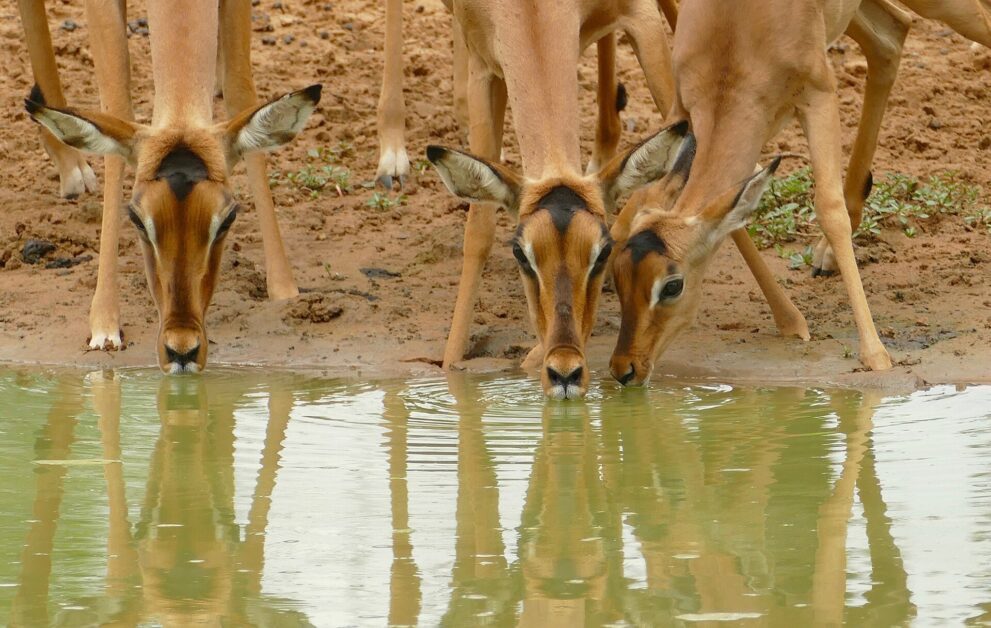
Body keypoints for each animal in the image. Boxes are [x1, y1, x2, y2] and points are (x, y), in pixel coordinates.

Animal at [21, 0, 320, 373]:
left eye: (228, 218)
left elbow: (241, 93)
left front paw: (284, 290)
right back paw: (70, 165)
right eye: (136, 218)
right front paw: (104, 325)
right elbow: (117, 106)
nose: (182, 350)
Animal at [425, 0, 682, 400]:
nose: (565, 372)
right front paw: (452, 365)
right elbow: (479, 228)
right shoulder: (482, 69)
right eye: (520, 253)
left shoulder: (643, 20)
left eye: (603, 253)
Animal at [609, 0, 991, 386]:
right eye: (616, 271)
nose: (624, 368)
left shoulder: (819, 94)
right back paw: (825, 258)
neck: (735, 34)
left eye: (673, 285)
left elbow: (829, 208)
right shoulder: (681, 110)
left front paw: (876, 356)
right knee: (891, 34)